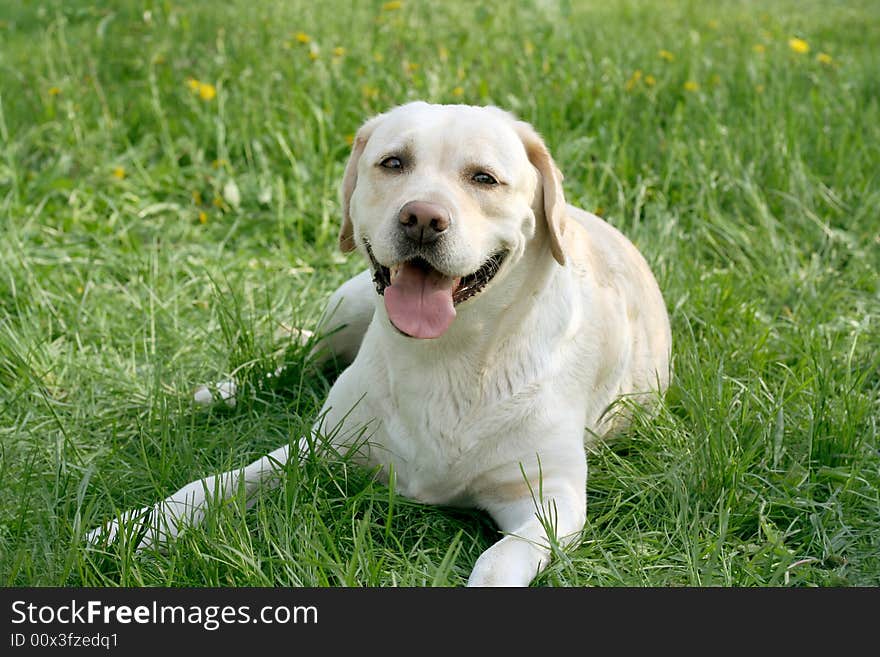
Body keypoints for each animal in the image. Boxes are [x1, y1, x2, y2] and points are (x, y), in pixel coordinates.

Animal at [87, 101, 668, 584]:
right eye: (393, 163)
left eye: (484, 178)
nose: (422, 218)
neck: (445, 356)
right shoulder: (319, 446)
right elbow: (213, 485)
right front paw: (126, 529)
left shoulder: (551, 502)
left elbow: (497, 561)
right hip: (346, 308)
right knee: (295, 361)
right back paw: (226, 391)